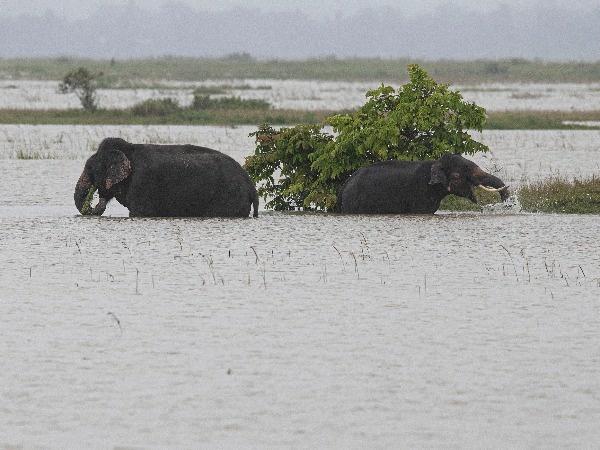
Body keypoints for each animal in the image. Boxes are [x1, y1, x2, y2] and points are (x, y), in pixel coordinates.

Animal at [74, 137, 258, 218]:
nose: (96, 203)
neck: (128, 150)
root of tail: (251, 186)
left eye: (91, 169)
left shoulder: (142, 183)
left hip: (231, 197)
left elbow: (139, 212)